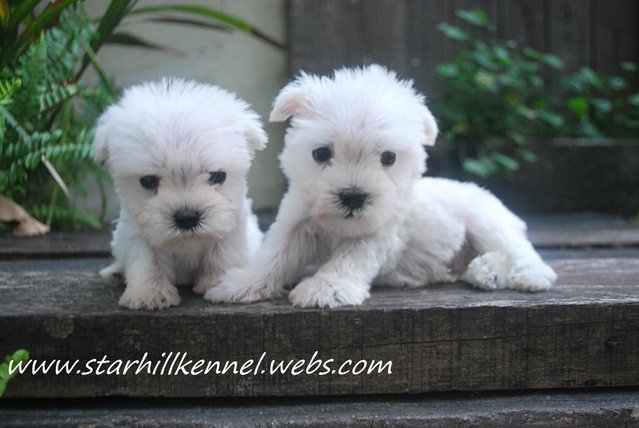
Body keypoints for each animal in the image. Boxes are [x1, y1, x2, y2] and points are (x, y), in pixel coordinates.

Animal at [94, 77, 266, 310]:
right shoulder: (138, 230)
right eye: (148, 181)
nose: (187, 218)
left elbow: (223, 252)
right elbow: (148, 260)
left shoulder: (232, 225)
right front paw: (150, 295)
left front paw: (220, 282)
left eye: (217, 176)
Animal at [205, 64, 556, 308]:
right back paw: (484, 271)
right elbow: (273, 256)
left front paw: (326, 287)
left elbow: (349, 258)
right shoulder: (296, 223)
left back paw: (524, 275)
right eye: (321, 153)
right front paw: (240, 284)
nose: (353, 196)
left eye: (388, 157)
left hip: (485, 222)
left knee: (520, 251)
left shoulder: (377, 234)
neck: (339, 225)